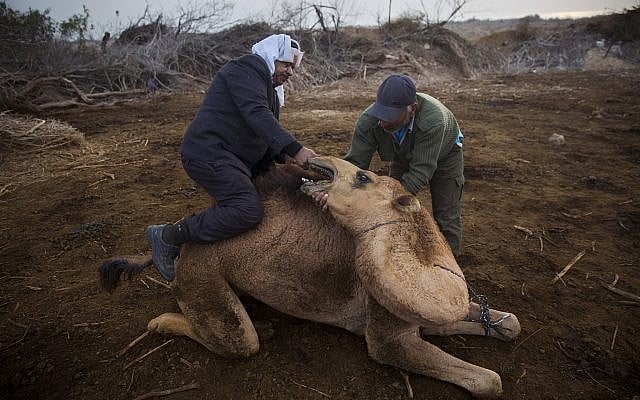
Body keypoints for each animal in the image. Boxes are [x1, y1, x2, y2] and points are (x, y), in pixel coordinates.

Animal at [99, 156, 521, 398]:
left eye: (363, 177)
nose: (319, 157)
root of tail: (179, 248)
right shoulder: (387, 335)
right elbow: (489, 381)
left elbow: (510, 323)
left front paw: (498, 324)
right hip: (201, 276)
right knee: (238, 342)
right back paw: (163, 323)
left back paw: (265, 324)